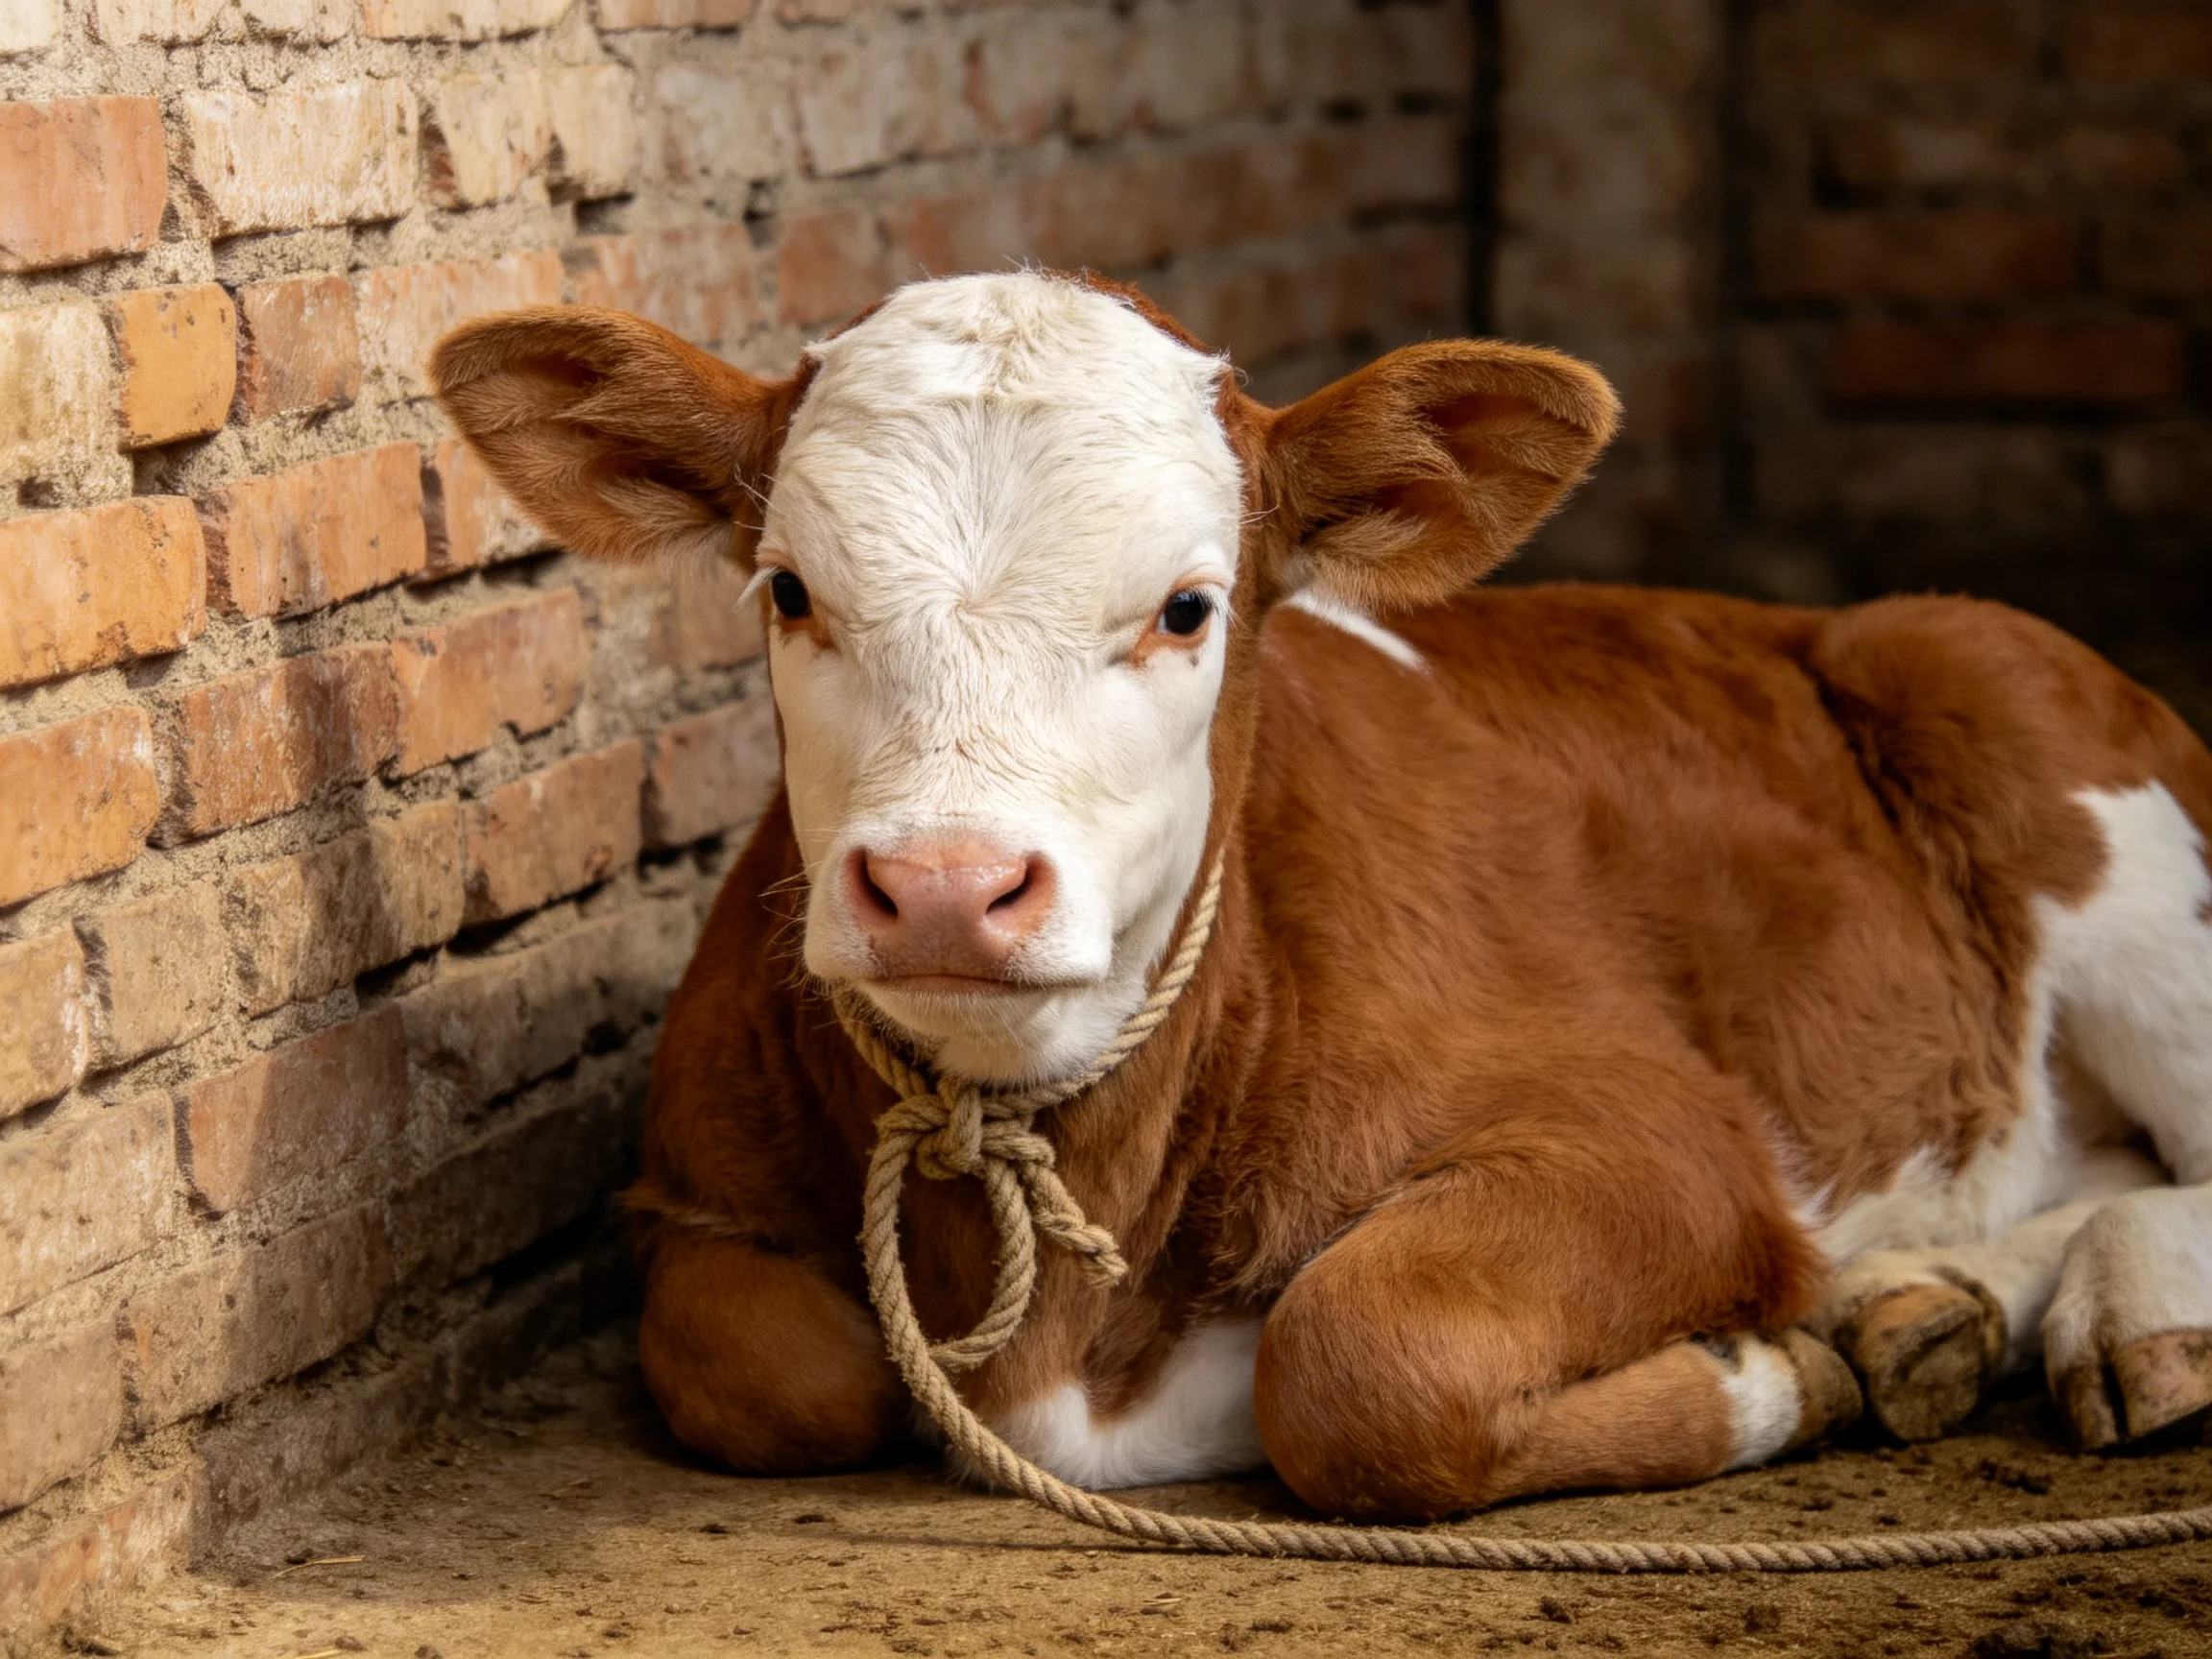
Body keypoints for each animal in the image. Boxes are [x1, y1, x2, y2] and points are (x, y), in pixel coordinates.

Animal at [431, 270, 2212, 1522]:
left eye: (1185, 607)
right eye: (790, 591)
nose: (943, 887)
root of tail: (1837, 616)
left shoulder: (1669, 1137)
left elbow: (1361, 1355)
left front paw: (1757, 1364)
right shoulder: (686, 1194)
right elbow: (777, 1372)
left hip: (2050, 762)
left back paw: (2105, 1317)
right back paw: (1928, 1304)